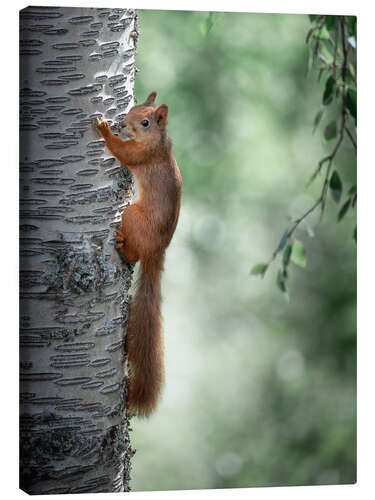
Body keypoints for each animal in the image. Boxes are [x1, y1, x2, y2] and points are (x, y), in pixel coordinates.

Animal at [94, 92, 181, 416]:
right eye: (132, 108)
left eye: (145, 122)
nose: (122, 123)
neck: (158, 143)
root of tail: (158, 249)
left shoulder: (140, 156)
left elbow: (122, 153)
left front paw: (105, 130)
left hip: (132, 216)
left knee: (133, 255)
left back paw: (122, 245)